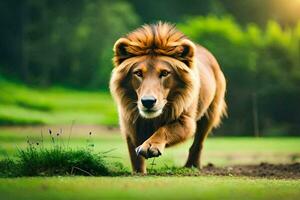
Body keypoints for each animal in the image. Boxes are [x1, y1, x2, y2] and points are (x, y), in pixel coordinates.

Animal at [109, 21, 226, 173]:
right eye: (138, 73)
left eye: (164, 73)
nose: (148, 102)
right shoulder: (130, 125)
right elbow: (135, 158)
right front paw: (139, 172)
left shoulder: (186, 122)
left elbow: (164, 130)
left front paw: (150, 146)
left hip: (210, 113)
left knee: (198, 143)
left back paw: (192, 165)